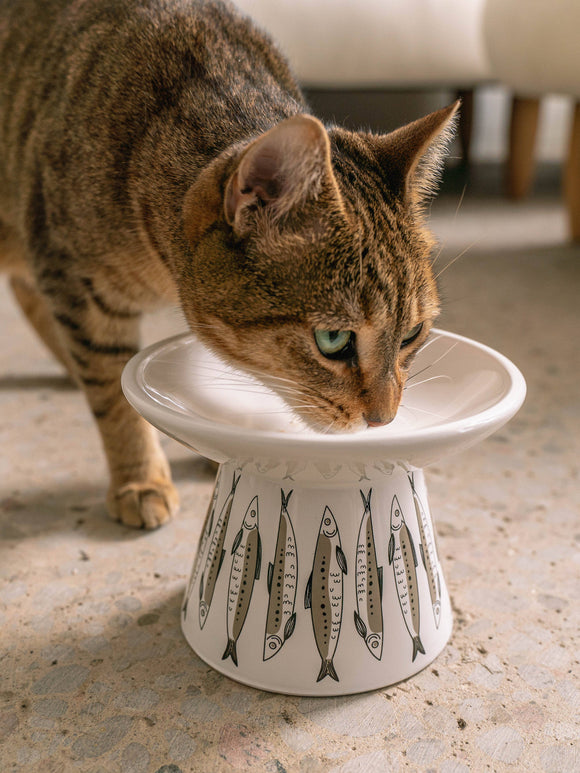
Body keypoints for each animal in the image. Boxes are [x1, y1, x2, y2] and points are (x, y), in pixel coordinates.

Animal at [0, 0, 458, 528]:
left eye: (411, 334)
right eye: (333, 340)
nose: (383, 419)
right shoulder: (77, 283)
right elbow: (113, 394)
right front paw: (141, 477)